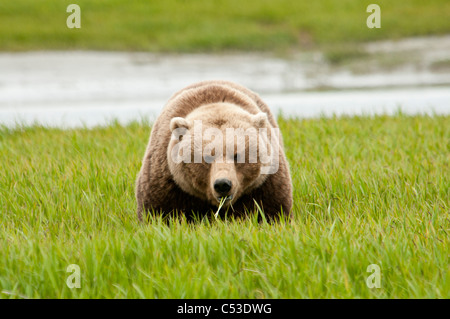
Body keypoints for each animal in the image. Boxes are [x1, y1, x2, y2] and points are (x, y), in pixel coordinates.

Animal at [135, 79, 294, 222]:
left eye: (237, 156)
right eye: (206, 157)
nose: (222, 184)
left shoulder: (264, 184)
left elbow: (272, 210)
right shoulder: (169, 185)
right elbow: (158, 212)